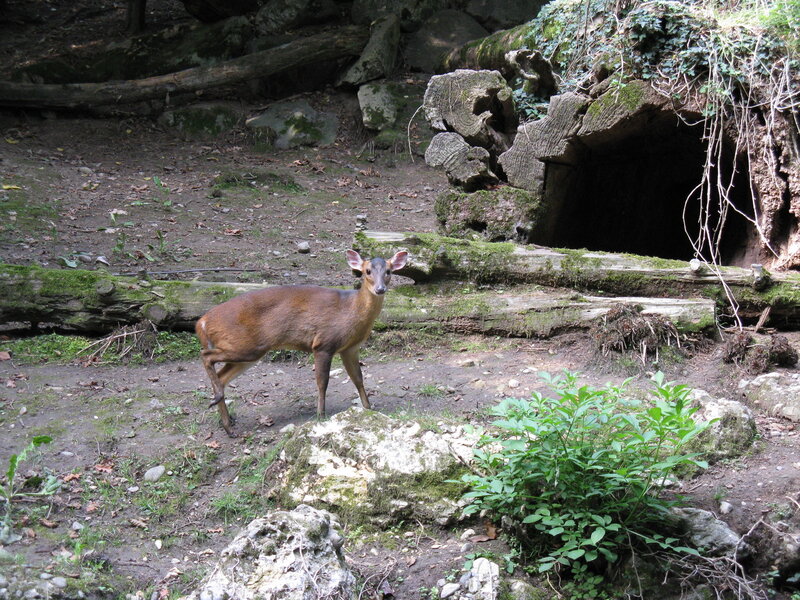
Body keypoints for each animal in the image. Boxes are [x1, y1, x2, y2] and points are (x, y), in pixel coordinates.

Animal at [195, 249, 408, 436]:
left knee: (221, 376)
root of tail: (202, 322)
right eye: (367, 271)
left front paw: (369, 409)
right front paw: (321, 415)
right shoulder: (323, 343)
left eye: (389, 271)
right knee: (206, 356)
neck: (351, 310)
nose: (380, 289)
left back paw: (228, 426)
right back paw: (220, 406)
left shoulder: (349, 349)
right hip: (245, 346)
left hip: (247, 353)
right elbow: (322, 382)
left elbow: (358, 379)